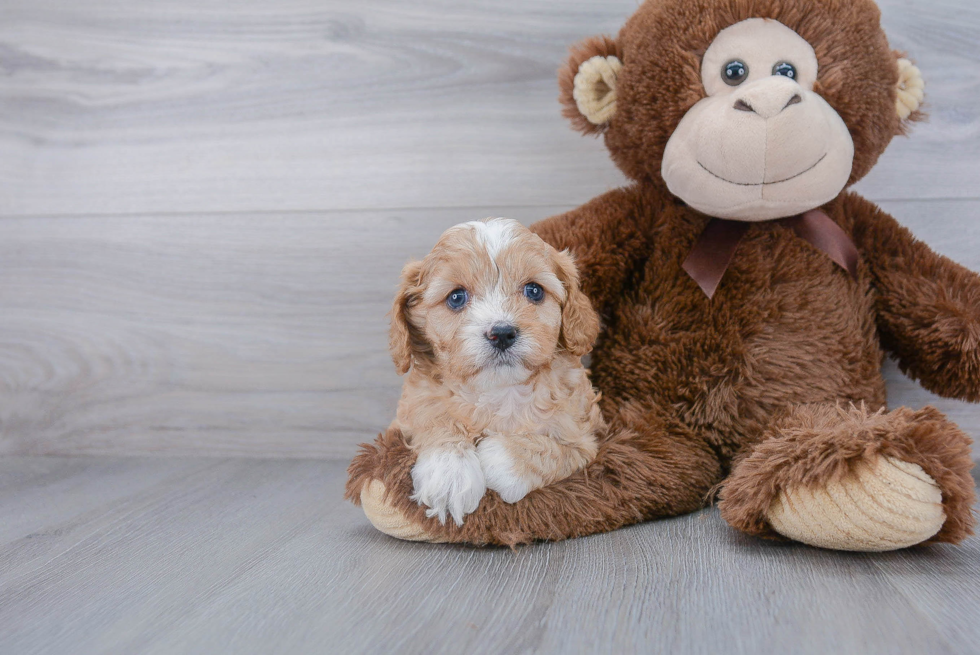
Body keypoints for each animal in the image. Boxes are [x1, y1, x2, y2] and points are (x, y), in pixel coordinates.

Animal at [386, 220, 600, 528]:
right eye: (456, 297)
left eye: (534, 291)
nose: (502, 333)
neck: (501, 389)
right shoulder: (413, 409)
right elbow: (435, 420)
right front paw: (450, 476)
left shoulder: (585, 438)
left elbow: (554, 451)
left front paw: (497, 457)